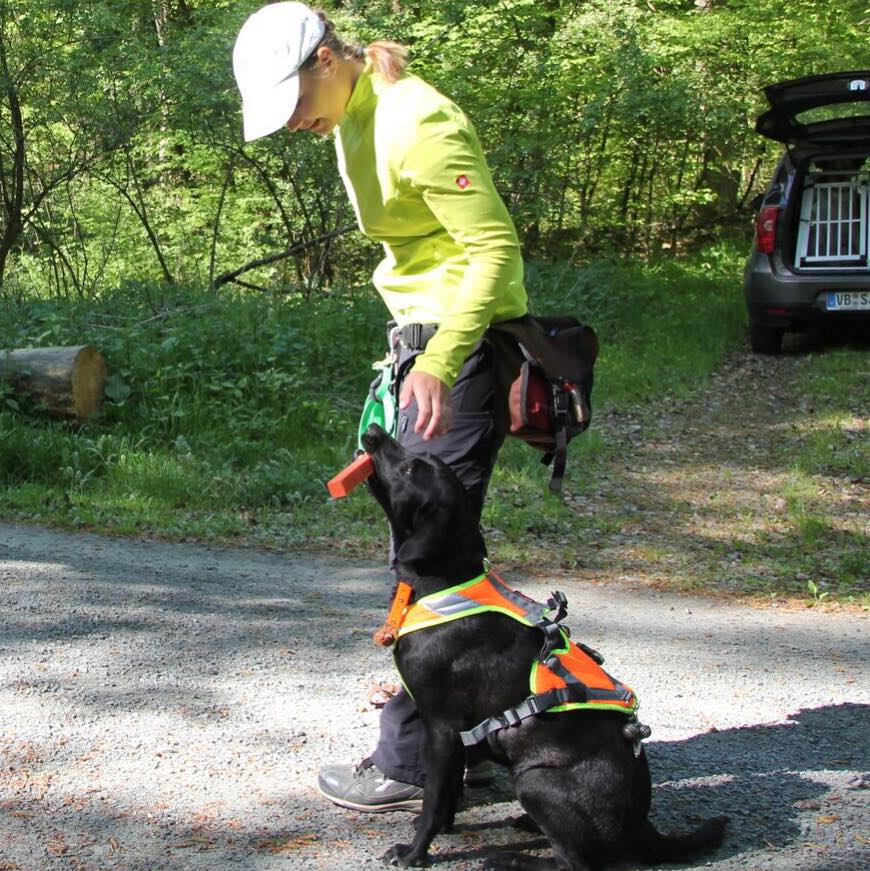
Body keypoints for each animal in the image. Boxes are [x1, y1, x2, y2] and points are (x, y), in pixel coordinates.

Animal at [362, 426, 728, 868]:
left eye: (410, 468)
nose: (374, 431)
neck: (446, 582)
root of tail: (643, 827)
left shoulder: (443, 728)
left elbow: (434, 798)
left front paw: (415, 852)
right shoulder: (458, 737)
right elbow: (448, 796)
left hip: (535, 779)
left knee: (576, 862)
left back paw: (512, 858)